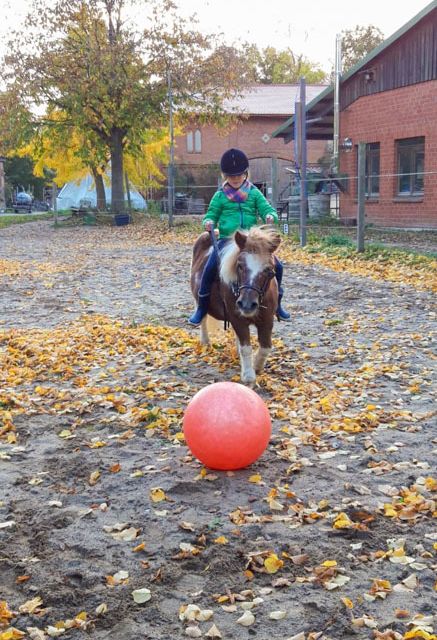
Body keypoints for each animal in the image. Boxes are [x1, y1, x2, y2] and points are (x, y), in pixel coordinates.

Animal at [190, 226, 280, 384]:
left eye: (269, 270)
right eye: (240, 266)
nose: (247, 305)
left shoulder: (267, 320)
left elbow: (265, 347)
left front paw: (256, 366)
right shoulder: (237, 318)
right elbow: (246, 347)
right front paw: (248, 376)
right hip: (198, 300)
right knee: (203, 317)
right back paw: (205, 342)